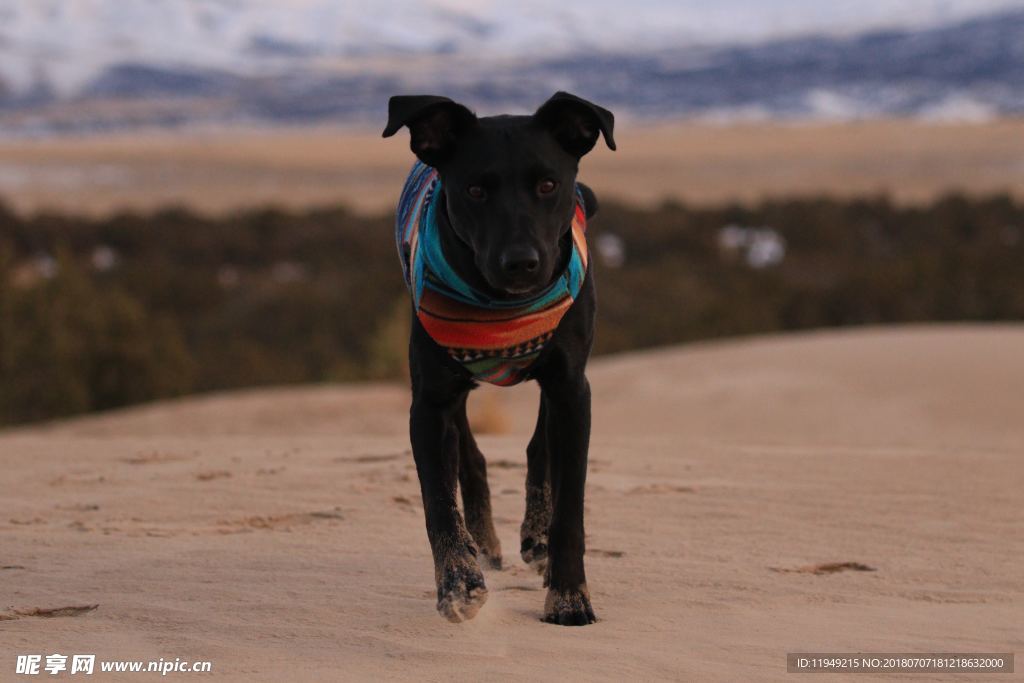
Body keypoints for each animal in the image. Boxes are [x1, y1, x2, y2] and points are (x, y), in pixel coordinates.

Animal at [380, 93, 610, 626]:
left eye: (548, 185)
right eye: (475, 190)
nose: (521, 263)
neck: (501, 309)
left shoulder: (572, 388)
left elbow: (570, 504)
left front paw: (569, 596)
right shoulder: (430, 402)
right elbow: (439, 502)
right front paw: (458, 583)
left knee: (539, 449)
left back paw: (536, 537)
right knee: (471, 458)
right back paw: (482, 543)